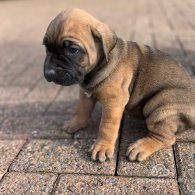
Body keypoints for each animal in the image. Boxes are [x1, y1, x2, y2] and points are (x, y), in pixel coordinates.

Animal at [43, 8, 195, 161]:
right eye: (46, 47)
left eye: (73, 50)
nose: (49, 72)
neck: (96, 68)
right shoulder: (85, 94)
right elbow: (82, 109)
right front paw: (75, 123)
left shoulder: (113, 102)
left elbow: (107, 126)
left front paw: (102, 147)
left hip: (160, 105)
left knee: (166, 138)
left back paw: (141, 147)